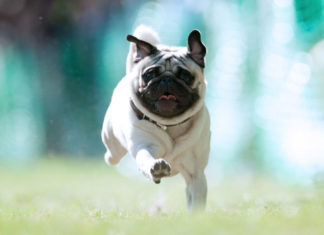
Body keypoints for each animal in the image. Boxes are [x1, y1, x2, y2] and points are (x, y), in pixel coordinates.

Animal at [102, 25, 211, 211]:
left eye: (185, 76)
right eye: (150, 74)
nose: (166, 80)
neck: (169, 124)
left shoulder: (195, 176)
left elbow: (196, 203)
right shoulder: (145, 147)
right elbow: (146, 158)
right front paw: (156, 167)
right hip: (111, 141)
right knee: (112, 155)